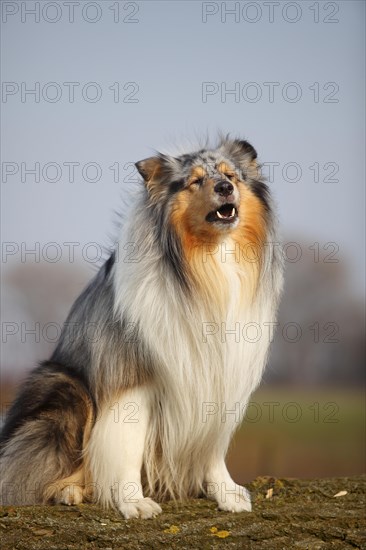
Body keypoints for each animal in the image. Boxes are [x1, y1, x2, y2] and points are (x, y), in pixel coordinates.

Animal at [0, 136, 284, 520]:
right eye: (195, 181)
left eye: (230, 176)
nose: (225, 188)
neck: (206, 264)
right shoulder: (132, 377)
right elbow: (128, 446)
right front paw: (132, 500)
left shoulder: (220, 376)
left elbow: (213, 446)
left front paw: (226, 492)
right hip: (66, 386)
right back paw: (69, 490)